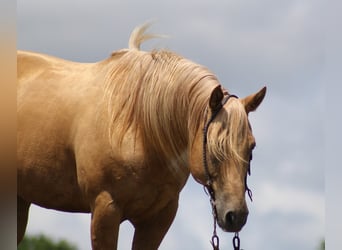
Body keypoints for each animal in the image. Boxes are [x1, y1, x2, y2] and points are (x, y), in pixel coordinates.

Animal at [17, 23, 266, 250]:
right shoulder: (105, 209)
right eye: (214, 148)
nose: (236, 215)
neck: (139, 131)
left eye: (251, 147)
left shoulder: (158, 217)